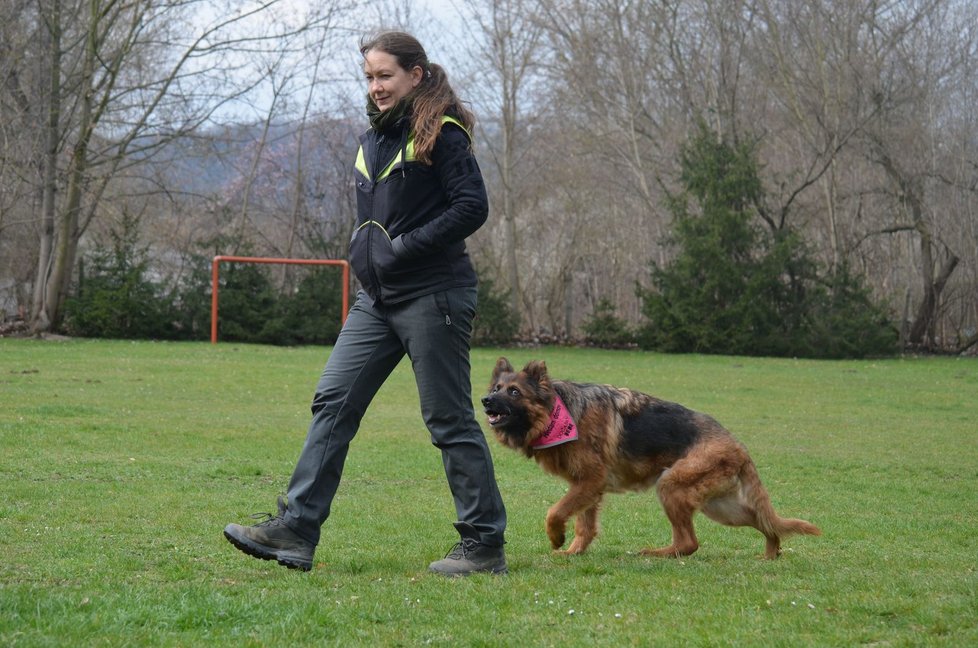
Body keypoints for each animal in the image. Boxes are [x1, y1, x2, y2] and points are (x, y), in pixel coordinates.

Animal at [484, 356, 820, 560]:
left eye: (513, 392)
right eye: (497, 388)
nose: (485, 400)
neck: (558, 411)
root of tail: (738, 446)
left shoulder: (589, 481)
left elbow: (555, 512)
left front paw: (556, 538)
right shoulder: (588, 488)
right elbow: (585, 526)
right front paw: (573, 552)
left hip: (671, 487)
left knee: (689, 543)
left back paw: (656, 553)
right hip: (721, 508)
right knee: (764, 523)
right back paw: (771, 552)